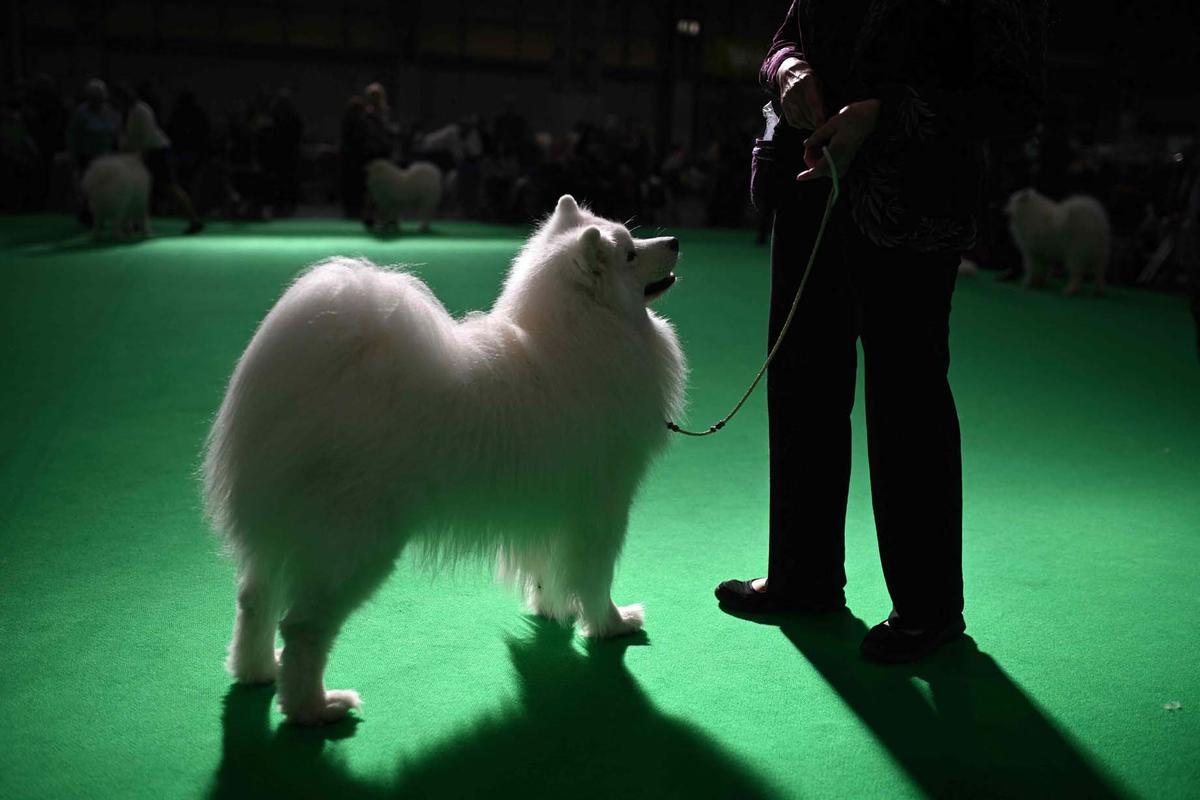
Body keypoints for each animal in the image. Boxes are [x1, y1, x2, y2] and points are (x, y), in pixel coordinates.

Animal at [204, 194, 686, 724]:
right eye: (630, 254)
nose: (675, 240)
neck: (580, 337)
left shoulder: (548, 509)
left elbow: (549, 569)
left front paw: (551, 609)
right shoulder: (602, 506)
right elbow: (596, 576)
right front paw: (611, 624)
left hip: (280, 535)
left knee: (253, 600)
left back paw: (257, 671)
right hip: (356, 545)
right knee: (302, 626)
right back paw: (316, 708)